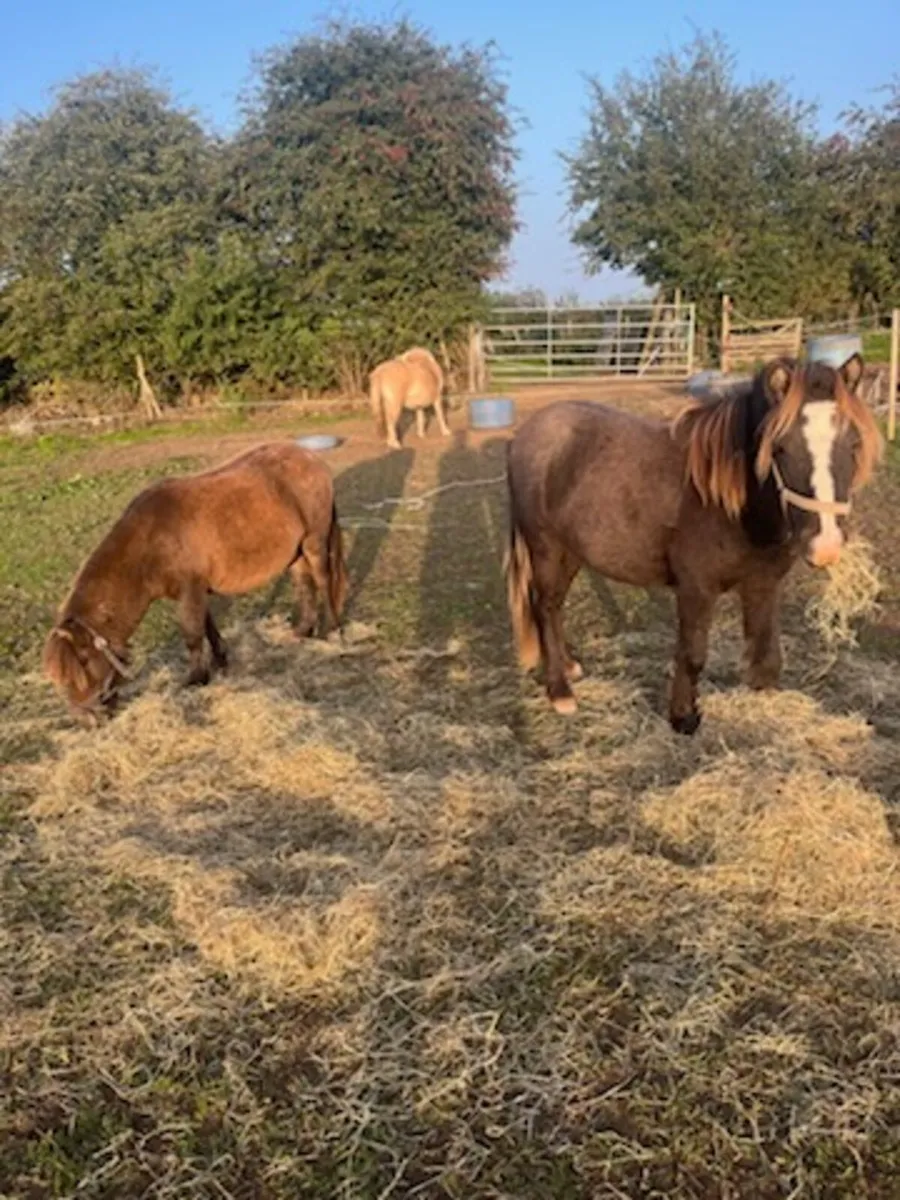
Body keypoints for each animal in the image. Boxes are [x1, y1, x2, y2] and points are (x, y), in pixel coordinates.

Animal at [43, 442, 348, 722]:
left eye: (83, 662)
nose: (88, 719)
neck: (151, 540)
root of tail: (309, 456)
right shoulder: (195, 590)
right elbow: (207, 626)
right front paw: (220, 660)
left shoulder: (190, 589)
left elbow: (191, 633)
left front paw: (196, 678)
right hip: (295, 553)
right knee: (304, 585)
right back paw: (303, 631)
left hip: (314, 542)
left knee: (323, 582)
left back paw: (333, 632)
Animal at [505, 355, 881, 734]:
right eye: (780, 448)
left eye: (853, 445)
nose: (826, 545)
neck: (730, 502)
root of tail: (527, 433)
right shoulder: (696, 588)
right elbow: (693, 653)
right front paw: (683, 717)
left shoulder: (763, 585)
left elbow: (765, 654)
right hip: (546, 548)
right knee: (545, 606)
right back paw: (560, 692)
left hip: (571, 553)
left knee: (555, 607)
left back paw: (569, 668)